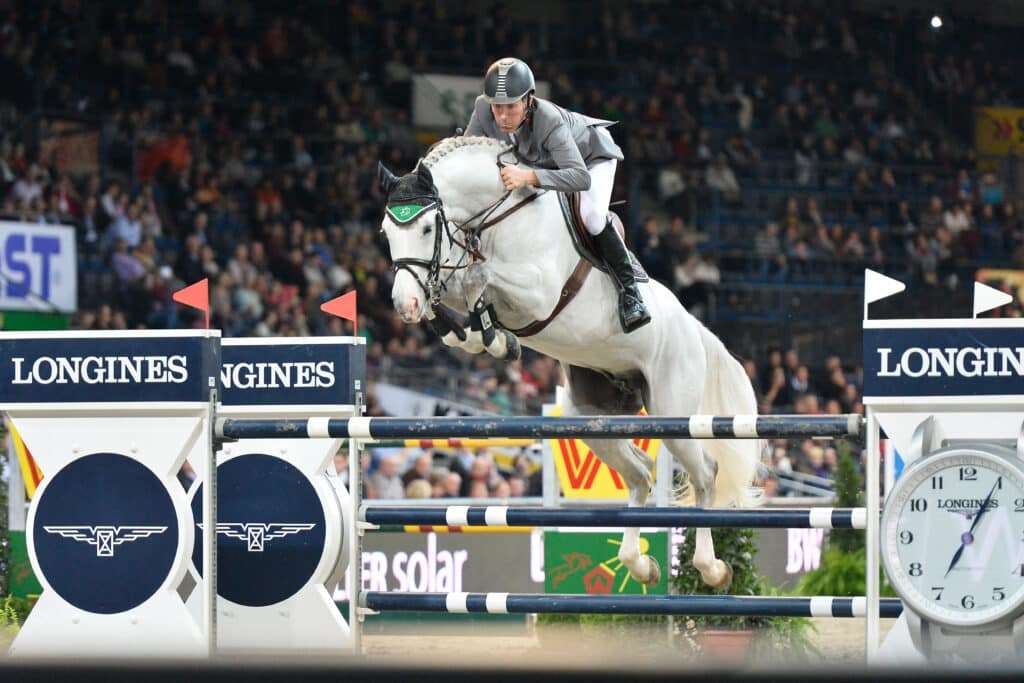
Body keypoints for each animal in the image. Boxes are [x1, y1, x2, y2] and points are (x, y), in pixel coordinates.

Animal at [377, 136, 760, 589]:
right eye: (386, 232)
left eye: (424, 228)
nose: (404, 306)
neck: (497, 216)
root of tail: (694, 326)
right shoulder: (454, 272)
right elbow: (455, 286)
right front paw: (480, 336)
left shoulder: (536, 291)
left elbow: (479, 277)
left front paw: (492, 336)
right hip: (591, 416)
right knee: (640, 472)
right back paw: (640, 564)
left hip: (672, 410)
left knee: (705, 473)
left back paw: (712, 569)